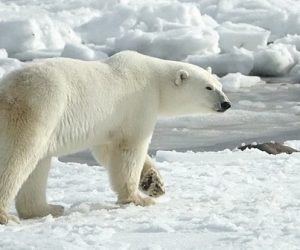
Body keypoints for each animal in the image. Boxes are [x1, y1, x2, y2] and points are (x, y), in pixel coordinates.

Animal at [0, 50, 231, 225]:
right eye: (208, 87)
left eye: (220, 85)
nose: (226, 103)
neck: (155, 80)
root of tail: (5, 91)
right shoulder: (138, 103)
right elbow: (130, 148)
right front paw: (138, 198)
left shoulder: (106, 123)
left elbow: (107, 150)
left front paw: (154, 183)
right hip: (38, 107)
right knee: (19, 156)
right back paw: (7, 216)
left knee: (38, 164)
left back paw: (49, 208)